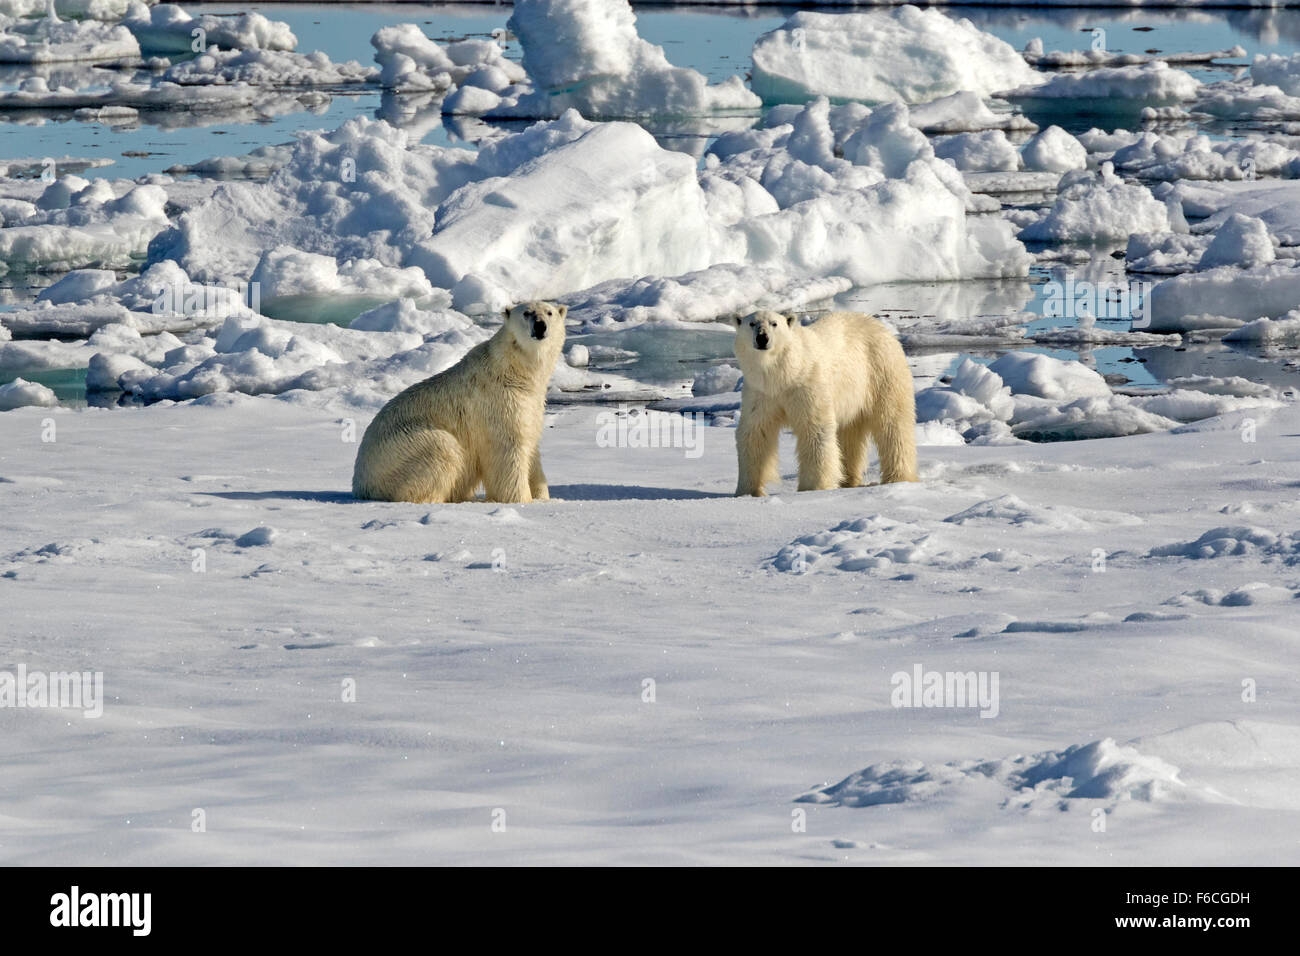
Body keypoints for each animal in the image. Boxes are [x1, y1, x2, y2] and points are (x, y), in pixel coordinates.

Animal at [353, 303, 566, 504]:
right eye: (526, 313)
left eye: (549, 312)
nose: (540, 326)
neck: (512, 371)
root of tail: (360, 483)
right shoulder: (498, 403)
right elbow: (508, 451)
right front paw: (522, 499)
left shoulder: (531, 402)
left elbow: (531, 445)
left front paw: (542, 496)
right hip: (402, 448)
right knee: (442, 449)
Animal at [733, 310, 915, 496]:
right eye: (752, 323)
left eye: (774, 323)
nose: (762, 337)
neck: (785, 374)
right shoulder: (761, 392)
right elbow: (756, 431)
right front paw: (747, 491)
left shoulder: (806, 385)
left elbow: (814, 428)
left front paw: (813, 487)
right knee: (849, 433)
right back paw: (847, 480)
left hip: (881, 371)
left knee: (893, 423)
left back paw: (898, 477)